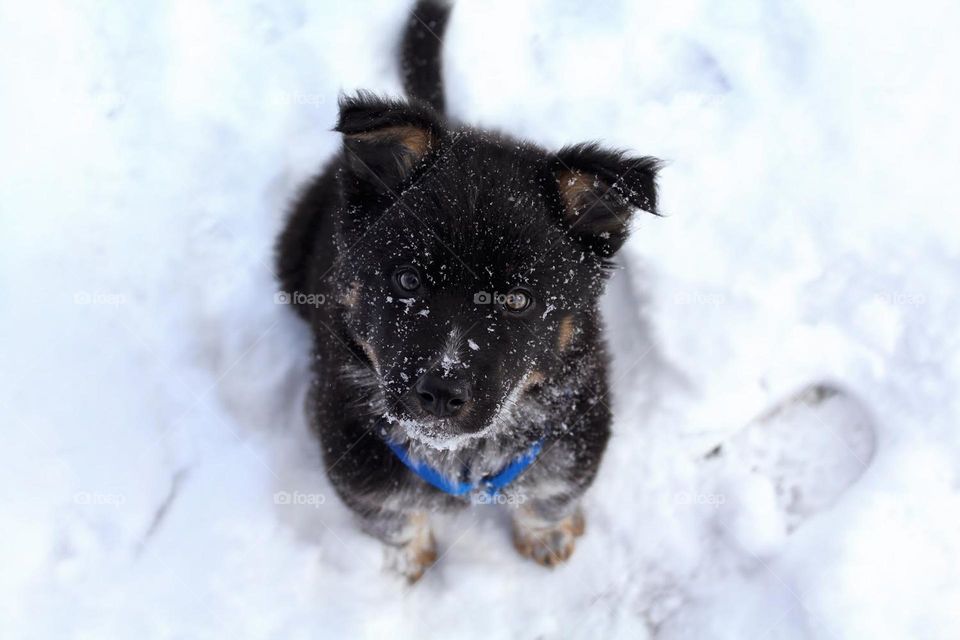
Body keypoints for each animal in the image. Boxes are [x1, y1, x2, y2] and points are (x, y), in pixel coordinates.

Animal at [274, 0, 656, 580]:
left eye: (518, 300)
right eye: (407, 280)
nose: (440, 393)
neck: (462, 456)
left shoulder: (576, 435)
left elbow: (548, 497)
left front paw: (546, 536)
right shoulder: (358, 461)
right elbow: (392, 517)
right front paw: (407, 562)